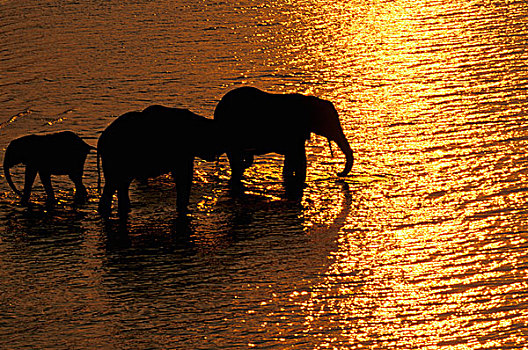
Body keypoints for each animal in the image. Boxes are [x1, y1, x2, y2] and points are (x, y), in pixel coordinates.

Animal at [96, 104, 224, 220]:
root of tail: (100, 141)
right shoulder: (182, 154)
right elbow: (184, 177)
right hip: (115, 159)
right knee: (114, 184)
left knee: (120, 186)